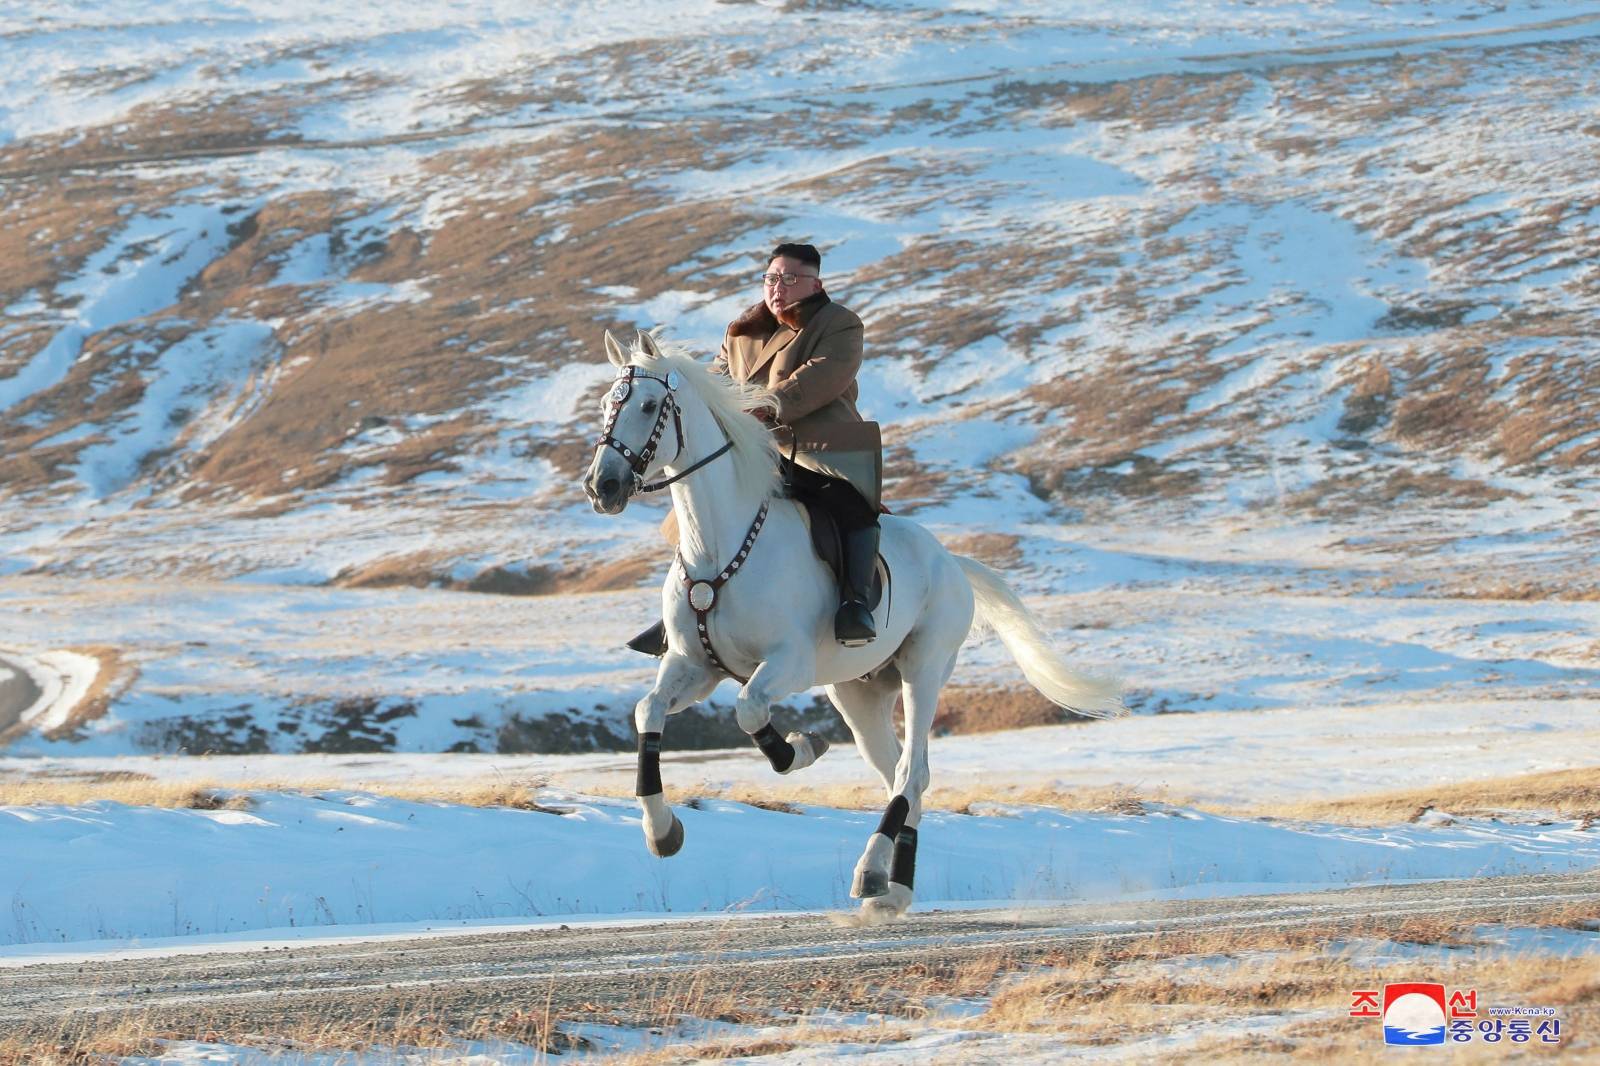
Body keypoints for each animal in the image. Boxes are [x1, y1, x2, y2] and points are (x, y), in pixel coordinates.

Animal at [582, 334, 1120, 921]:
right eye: (607, 404)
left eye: (649, 406)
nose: (602, 486)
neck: (719, 546)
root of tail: (951, 560)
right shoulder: (694, 667)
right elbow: (648, 711)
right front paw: (662, 831)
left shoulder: (787, 663)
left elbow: (750, 710)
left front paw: (801, 748)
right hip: (857, 693)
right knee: (900, 774)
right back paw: (894, 888)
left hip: (923, 669)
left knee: (911, 772)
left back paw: (870, 873)